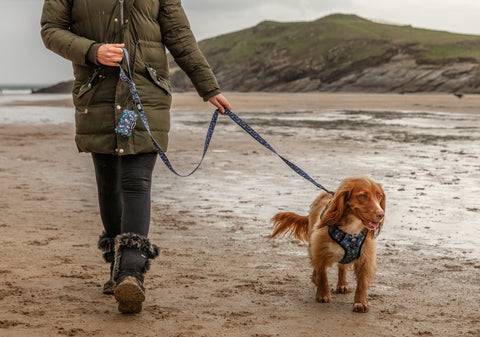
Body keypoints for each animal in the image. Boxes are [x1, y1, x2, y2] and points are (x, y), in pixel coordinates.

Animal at [272, 177, 384, 312]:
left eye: (379, 196)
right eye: (362, 196)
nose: (381, 214)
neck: (351, 230)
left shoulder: (366, 258)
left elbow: (362, 283)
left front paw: (360, 302)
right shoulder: (319, 250)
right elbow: (322, 274)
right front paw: (322, 293)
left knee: (342, 267)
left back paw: (342, 284)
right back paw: (316, 279)